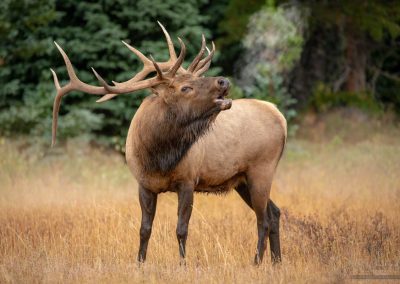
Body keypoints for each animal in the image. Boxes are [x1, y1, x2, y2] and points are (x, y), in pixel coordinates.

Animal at [51, 23, 286, 266]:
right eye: (185, 87)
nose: (223, 81)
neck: (158, 157)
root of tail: (279, 115)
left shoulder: (188, 180)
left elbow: (181, 229)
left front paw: (183, 264)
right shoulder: (144, 184)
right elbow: (144, 229)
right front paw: (140, 262)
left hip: (261, 168)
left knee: (263, 219)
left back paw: (257, 262)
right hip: (242, 179)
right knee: (275, 212)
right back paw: (276, 262)